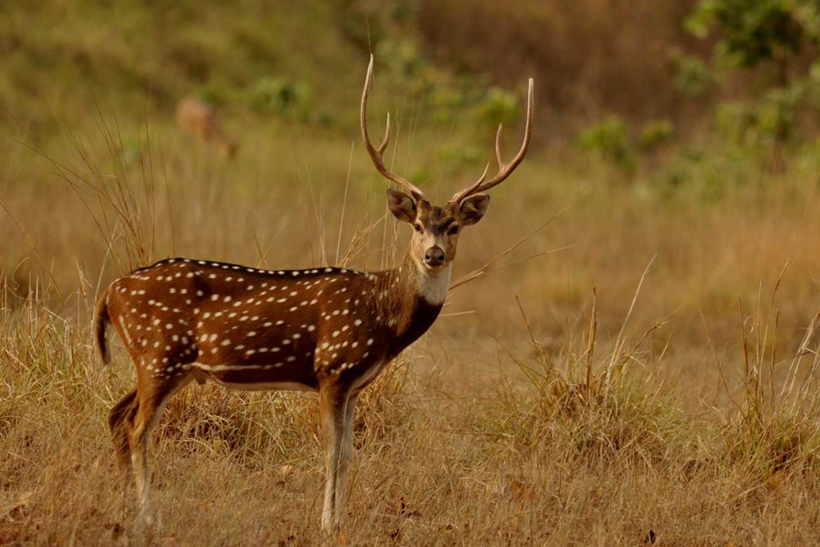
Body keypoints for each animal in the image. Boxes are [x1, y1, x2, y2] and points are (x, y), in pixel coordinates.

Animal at [96, 57, 536, 532]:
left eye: (453, 226)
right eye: (418, 225)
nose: (433, 254)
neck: (383, 316)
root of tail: (111, 293)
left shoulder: (357, 383)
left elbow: (349, 454)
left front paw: (340, 519)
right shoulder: (332, 367)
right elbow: (332, 452)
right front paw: (327, 522)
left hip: (160, 363)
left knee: (117, 415)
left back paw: (123, 506)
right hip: (160, 354)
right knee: (138, 428)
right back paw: (148, 516)